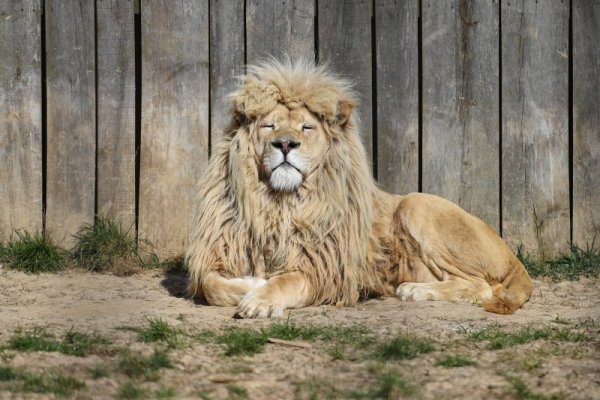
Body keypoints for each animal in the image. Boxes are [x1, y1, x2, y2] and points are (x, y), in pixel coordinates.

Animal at [185, 58, 532, 318]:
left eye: (306, 127)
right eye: (269, 125)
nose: (284, 144)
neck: (280, 202)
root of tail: (512, 256)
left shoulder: (326, 272)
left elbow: (285, 282)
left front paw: (260, 298)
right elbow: (212, 285)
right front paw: (251, 282)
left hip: (415, 204)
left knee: (480, 285)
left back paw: (414, 290)